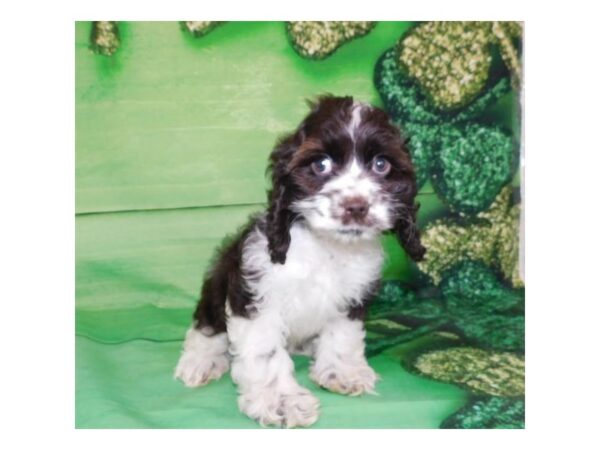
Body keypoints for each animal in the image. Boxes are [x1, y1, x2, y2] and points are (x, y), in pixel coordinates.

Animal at [175, 94, 426, 426]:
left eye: (381, 165)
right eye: (321, 165)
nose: (355, 206)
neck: (327, 248)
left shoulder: (352, 297)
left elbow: (343, 335)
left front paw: (342, 372)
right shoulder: (256, 293)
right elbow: (265, 354)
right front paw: (282, 401)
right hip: (218, 281)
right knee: (206, 326)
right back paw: (201, 361)